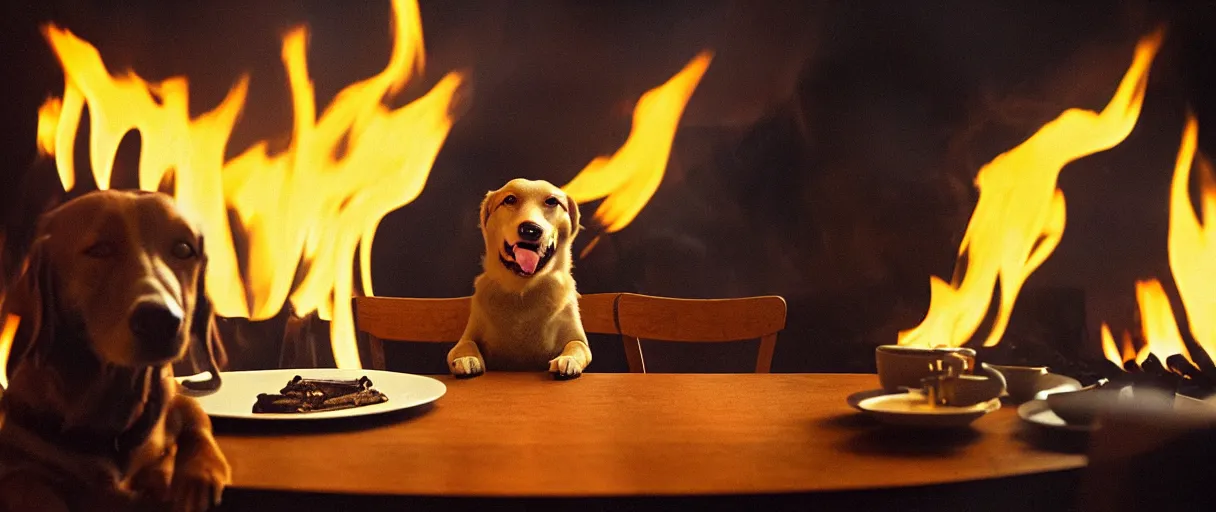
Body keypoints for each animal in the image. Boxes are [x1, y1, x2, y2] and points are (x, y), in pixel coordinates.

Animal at [0, 190, 228, 510]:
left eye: (184, 249)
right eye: (100, 249)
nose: (160, 320)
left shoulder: (177, 401)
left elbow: (198, 423)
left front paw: (200, 473)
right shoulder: (14, 465)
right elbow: (30, 485)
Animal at [452, 177, 593, 377]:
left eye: (552, 201)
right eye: (510, 199)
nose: (530, 229)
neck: (523, 291)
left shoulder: (577, 338)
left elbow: (577, 346)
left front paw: (568, 360)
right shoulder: (468, 335)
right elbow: (466, 344)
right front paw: (466, 359)